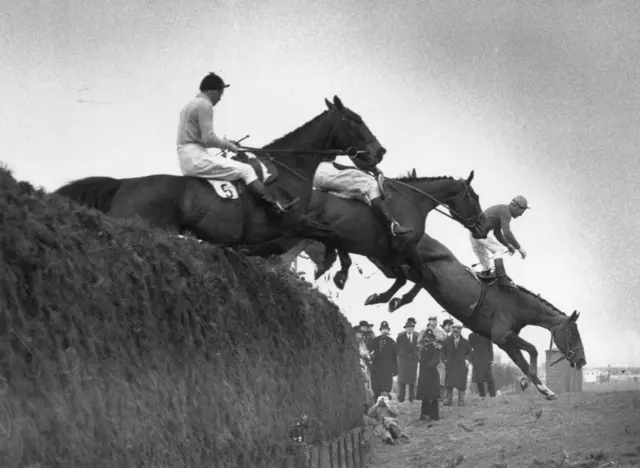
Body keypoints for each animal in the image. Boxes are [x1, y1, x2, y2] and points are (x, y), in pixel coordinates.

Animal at [55, 95, 384, 249]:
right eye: (355, 120)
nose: (380, 152)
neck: (289, 169)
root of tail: (123, 184)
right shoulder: (291, 224)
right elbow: (327, 235)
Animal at [412, 232, 588, 400]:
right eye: (573, 334)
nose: (582, 360)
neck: (517, 305)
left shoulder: (506, 343)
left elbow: (524, 363)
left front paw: (545, 390)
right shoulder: (502, 336)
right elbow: (533, 350)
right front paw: (526, 382)